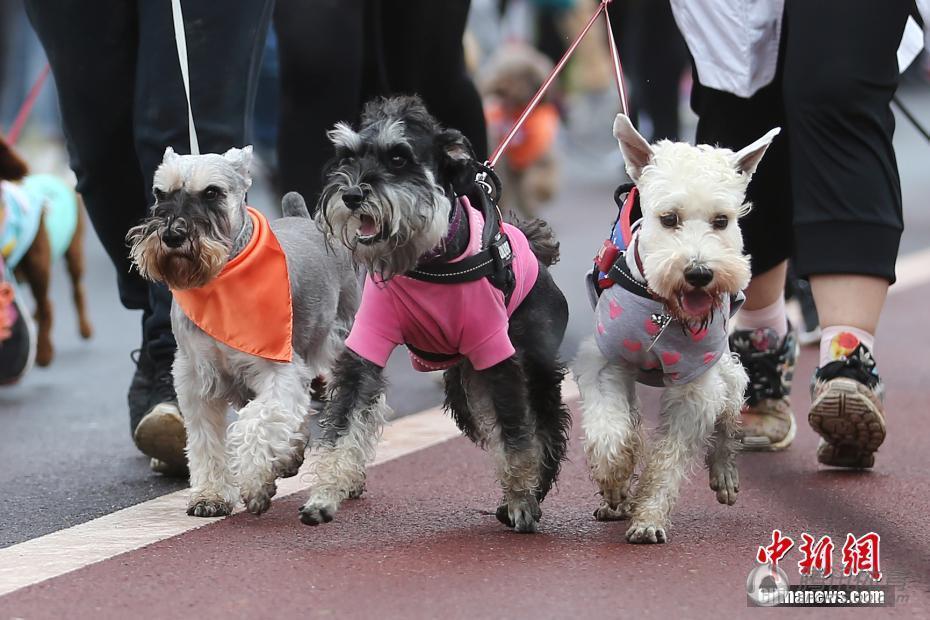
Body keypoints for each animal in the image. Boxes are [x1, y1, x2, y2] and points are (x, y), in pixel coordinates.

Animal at [130, 148, 358, 516]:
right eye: (159, 193)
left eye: (211, 192)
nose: (172, 236)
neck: (220, 281)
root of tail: (304, 218)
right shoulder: (196, 379)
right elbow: (205, 441)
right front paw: (210, 495)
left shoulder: (277, 371)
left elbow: (257, 422)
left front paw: (252, 481)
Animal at [300, 95, 568, 532]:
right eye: (348, 155)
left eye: (398, 157)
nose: (352, 195)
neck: (428, 259)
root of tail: (531, 247)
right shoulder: (365, 346)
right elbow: (342, 422)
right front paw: (323, 495)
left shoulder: (499, 358)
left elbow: (516, 432)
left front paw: (521, 501)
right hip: (462, 383)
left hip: (536, 367)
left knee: (545, 428)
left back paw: (535, 489)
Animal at [478, 43, 560, 218]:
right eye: (501, 73)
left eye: (520, 77)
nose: (500, 86)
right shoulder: (510, 169)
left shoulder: (542, 156)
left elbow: (543, 178)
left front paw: (541, 195)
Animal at [572, 115, 776, 544]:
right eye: (669, 218)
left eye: (722, 221)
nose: (699, 273)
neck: (663, 310)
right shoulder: (605, 361)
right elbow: (609, 432)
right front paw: (614, 481)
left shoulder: (695, 383)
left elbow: (669, 457)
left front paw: (648, 516)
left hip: (726, 371)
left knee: (728, 416)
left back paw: (724, 471)